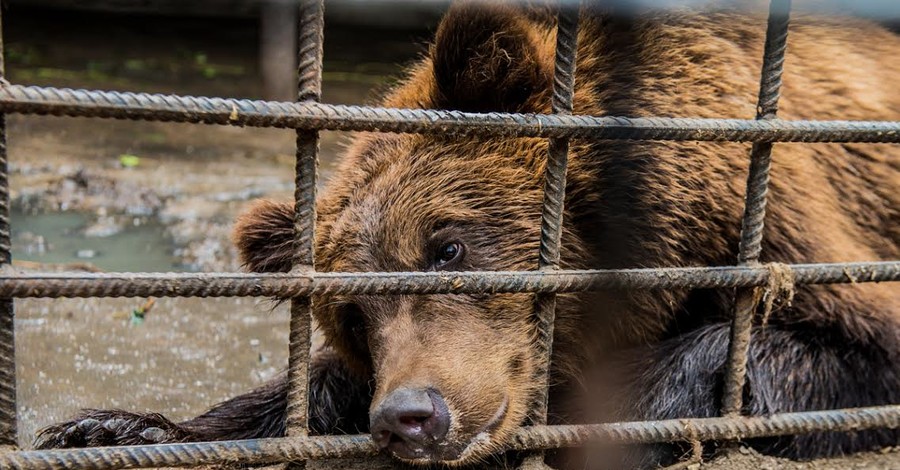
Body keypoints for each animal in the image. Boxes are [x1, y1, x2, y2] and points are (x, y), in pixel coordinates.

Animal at [37, 1, 900, 468]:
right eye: (354, 315)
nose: (412, 416)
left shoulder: (778, 224)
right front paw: (108, 428)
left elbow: (835, 349)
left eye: (448, 246)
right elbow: (308, 386)